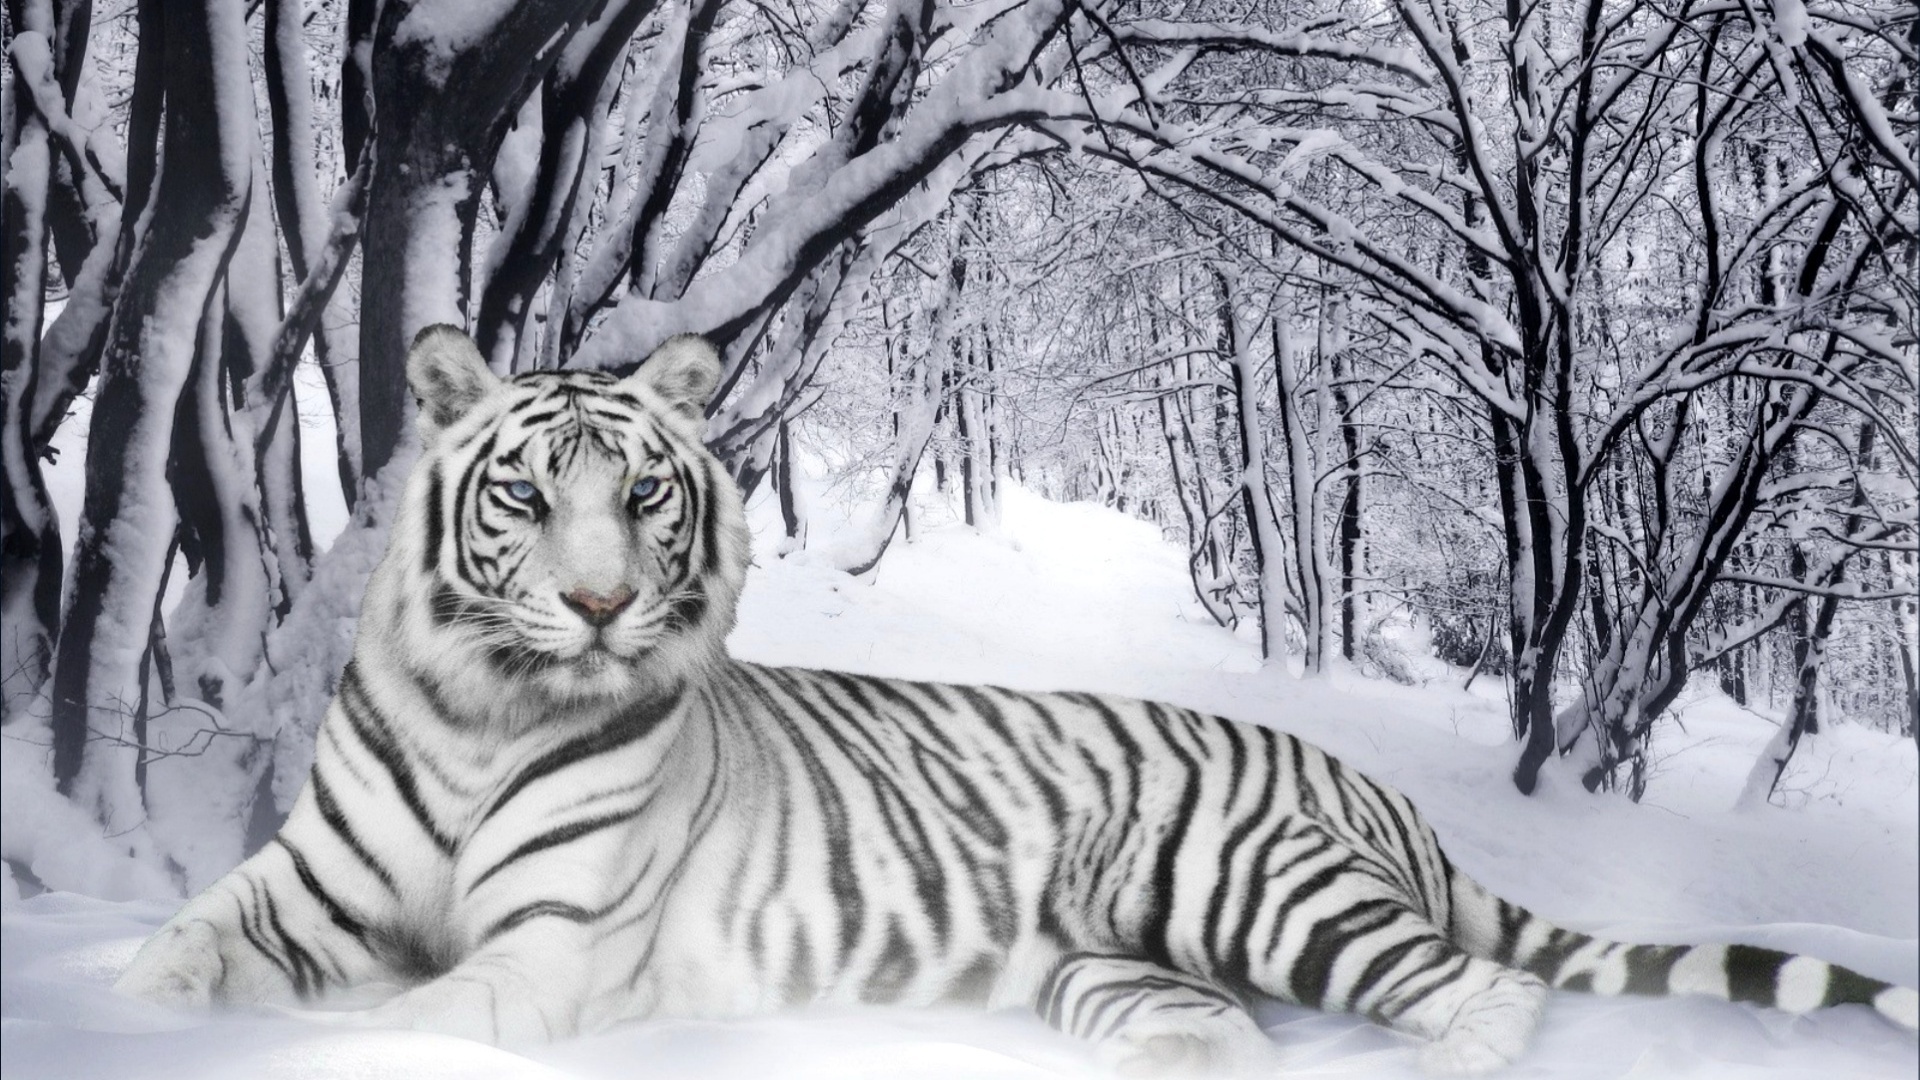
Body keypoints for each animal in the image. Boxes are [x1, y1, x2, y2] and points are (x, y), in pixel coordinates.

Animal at [115, 323, 1919, 1076]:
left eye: (642, 496)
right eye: (524, 495)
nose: (604, 605)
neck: (483, 709)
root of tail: (1375, 787)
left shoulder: (546, 954)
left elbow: (395, 1021)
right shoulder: (297, 893)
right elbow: (174, 959)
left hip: (1258, 888)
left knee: (1484, 997)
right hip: (1110, 969)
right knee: (1222, 1034)